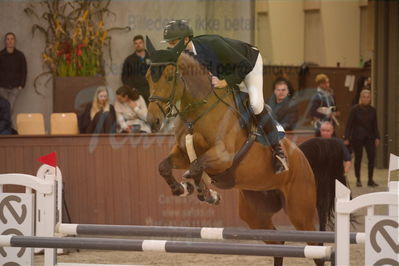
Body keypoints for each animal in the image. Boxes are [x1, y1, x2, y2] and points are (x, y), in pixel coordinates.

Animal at [145, 39, 346, 266]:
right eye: (147, 77)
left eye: (170, 77)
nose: (153, 122)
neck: (198, 110)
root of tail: (302, 157)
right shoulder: (182, 154)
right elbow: (164, 167)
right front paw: (182, 188)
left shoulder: (223, 156)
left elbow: (196, 168)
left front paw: (205, 193)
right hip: (255, 211)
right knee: (277, 243)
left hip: (299, 211)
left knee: (316, 248)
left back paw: (281, 159)